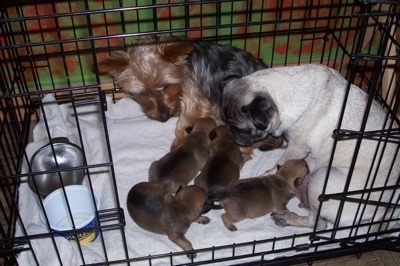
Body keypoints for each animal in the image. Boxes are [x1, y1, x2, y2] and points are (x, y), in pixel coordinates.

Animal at [222, 63, 400, 230]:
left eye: (243, 129)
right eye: (227, 122)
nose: (231, 132)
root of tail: (381, 212)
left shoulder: (296, 148)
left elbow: (279, 164)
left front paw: (268, 174)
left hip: (320, 181)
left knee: (318, 223)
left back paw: (288, 218)